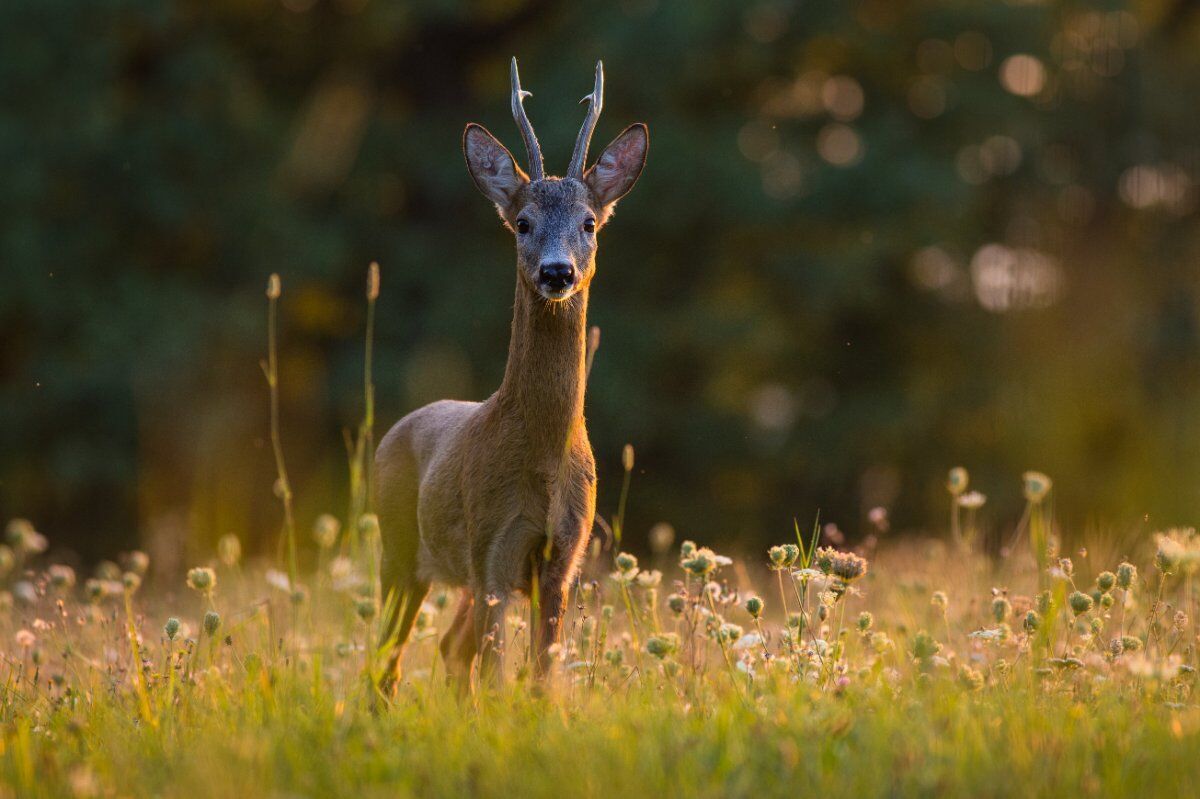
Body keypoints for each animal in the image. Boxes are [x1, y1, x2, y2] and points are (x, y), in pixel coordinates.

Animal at [379, 57, 652, 691]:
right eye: (522, 222)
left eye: (589, 223)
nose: (557, 272)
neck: (546, 462)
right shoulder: (492, 552)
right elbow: (499, 677)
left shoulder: (562, 559)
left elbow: (542, 680)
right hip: (398, 550)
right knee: (388, 663)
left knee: (450, 650)